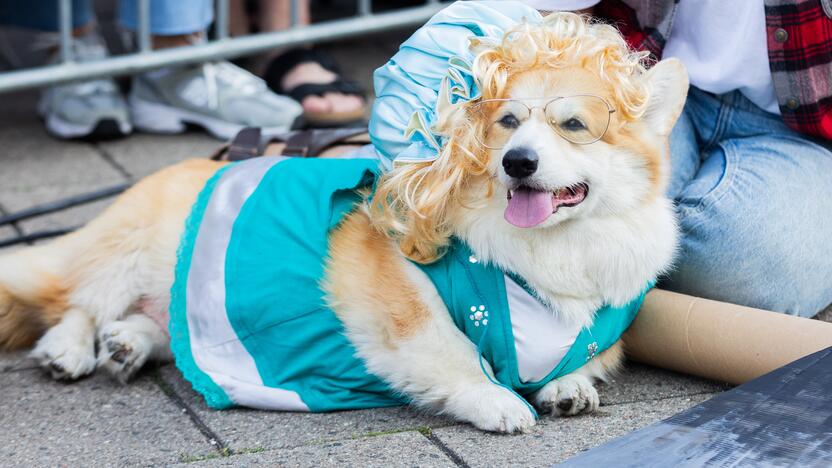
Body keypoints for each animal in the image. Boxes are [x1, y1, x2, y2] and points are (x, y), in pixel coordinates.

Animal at [0, 12, 684, 434]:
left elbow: (583, 359)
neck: (553, 250)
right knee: (74, 299)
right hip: (134, 250)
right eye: (508, 123)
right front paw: (498, 400)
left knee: (157, 325)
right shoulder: (399, 299)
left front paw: (567, 386)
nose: (517, 163)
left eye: (574, 126)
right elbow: (454, 353)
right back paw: (69, 349)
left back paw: (127, 343)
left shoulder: (597, 325)